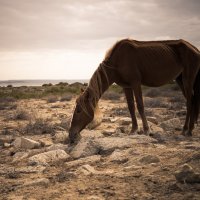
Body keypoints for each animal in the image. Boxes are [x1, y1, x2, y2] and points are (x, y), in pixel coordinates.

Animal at [68, 38, 198, 143]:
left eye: (79, 110)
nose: (71, 135)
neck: (117, 61)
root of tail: (194, 48)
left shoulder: (136, 83)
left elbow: (140, 105)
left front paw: (146, 130)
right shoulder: (127, 86)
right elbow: (131, 107)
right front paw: (133, 130)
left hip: (188, 79)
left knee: (190, 102)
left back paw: (186, 130)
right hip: (180, 79)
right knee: (192, 100)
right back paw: (190, 129)